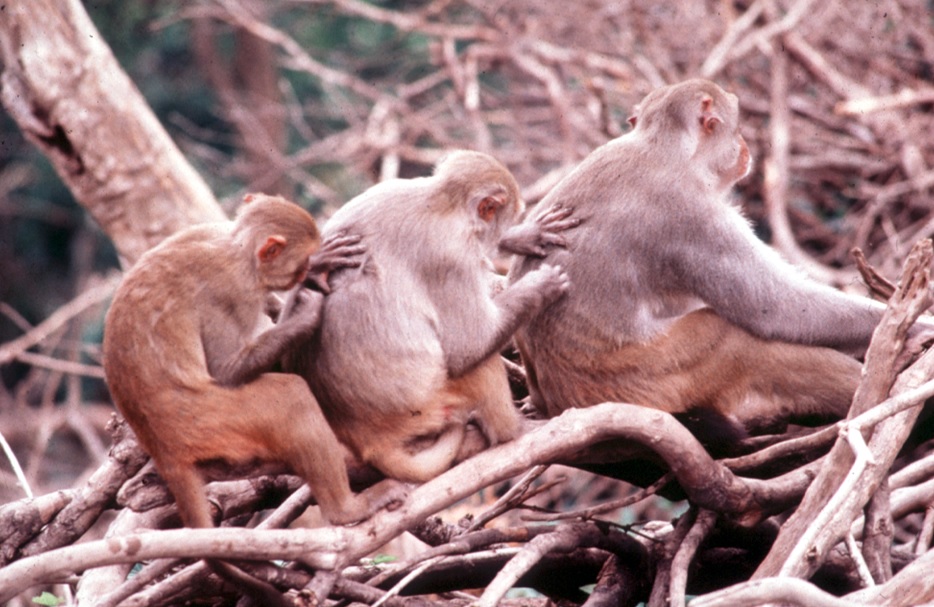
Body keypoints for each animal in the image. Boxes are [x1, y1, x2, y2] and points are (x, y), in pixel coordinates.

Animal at [103, 194, 406, 604]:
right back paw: (347, 510)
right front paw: (305, 311)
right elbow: (226, 371)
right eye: (298, 264)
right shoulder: (231, 289)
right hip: (216, 420)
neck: (235, 247)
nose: (308, 271)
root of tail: (163, 447)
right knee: (291, 397)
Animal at [286, 150, 576, 482]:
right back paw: (511, 431)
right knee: (476, 362)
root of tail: (367, 440)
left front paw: (526, 236)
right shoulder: (452, 257)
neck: (442, 204)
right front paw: (540, 286)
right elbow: (467, 347)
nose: (503, 233)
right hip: (431, 405)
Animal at [512, 79, 934, 442]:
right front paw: (917, 328)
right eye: (736, 130)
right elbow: (774, 308)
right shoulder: (692, 214)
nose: (746, 148)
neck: (663, 149)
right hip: (640, 380)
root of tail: (561, 401)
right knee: (732, 337)